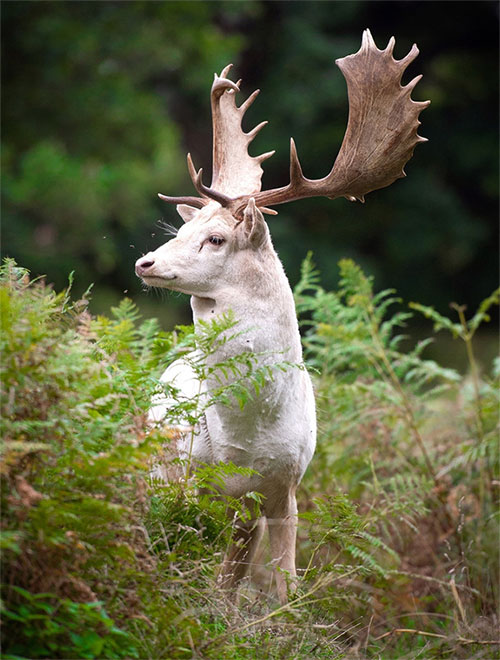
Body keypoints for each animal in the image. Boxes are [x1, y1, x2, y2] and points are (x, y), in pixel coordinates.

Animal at [135, 29, 429, 605]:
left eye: (215, 238)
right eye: (180, 231)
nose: (145, 263)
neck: (247, 439)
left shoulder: (285, 485)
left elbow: (285, 585)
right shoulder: (192, 479)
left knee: (233, 567)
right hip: (160, 469)